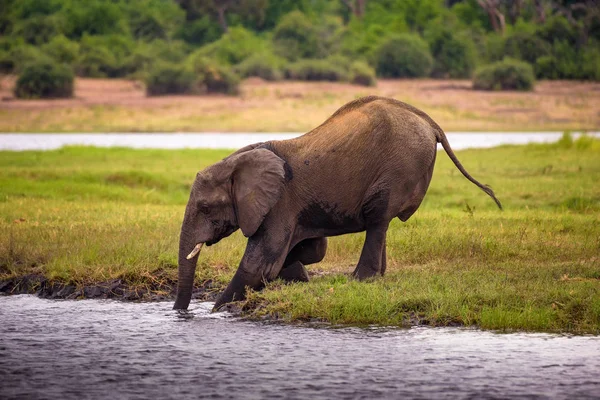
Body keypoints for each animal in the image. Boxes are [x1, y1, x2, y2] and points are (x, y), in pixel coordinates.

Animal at [173, 95, 502, 310]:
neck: (236, 162)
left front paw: (217, 310)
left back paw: (361, 280)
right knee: (380, 225)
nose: (179, 313)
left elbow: (260, 263)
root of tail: (431, 122)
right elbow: (311, 250)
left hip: (398, 168)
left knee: (378, 218)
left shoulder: (279, 203)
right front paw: (296, 277)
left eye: (205, 208)